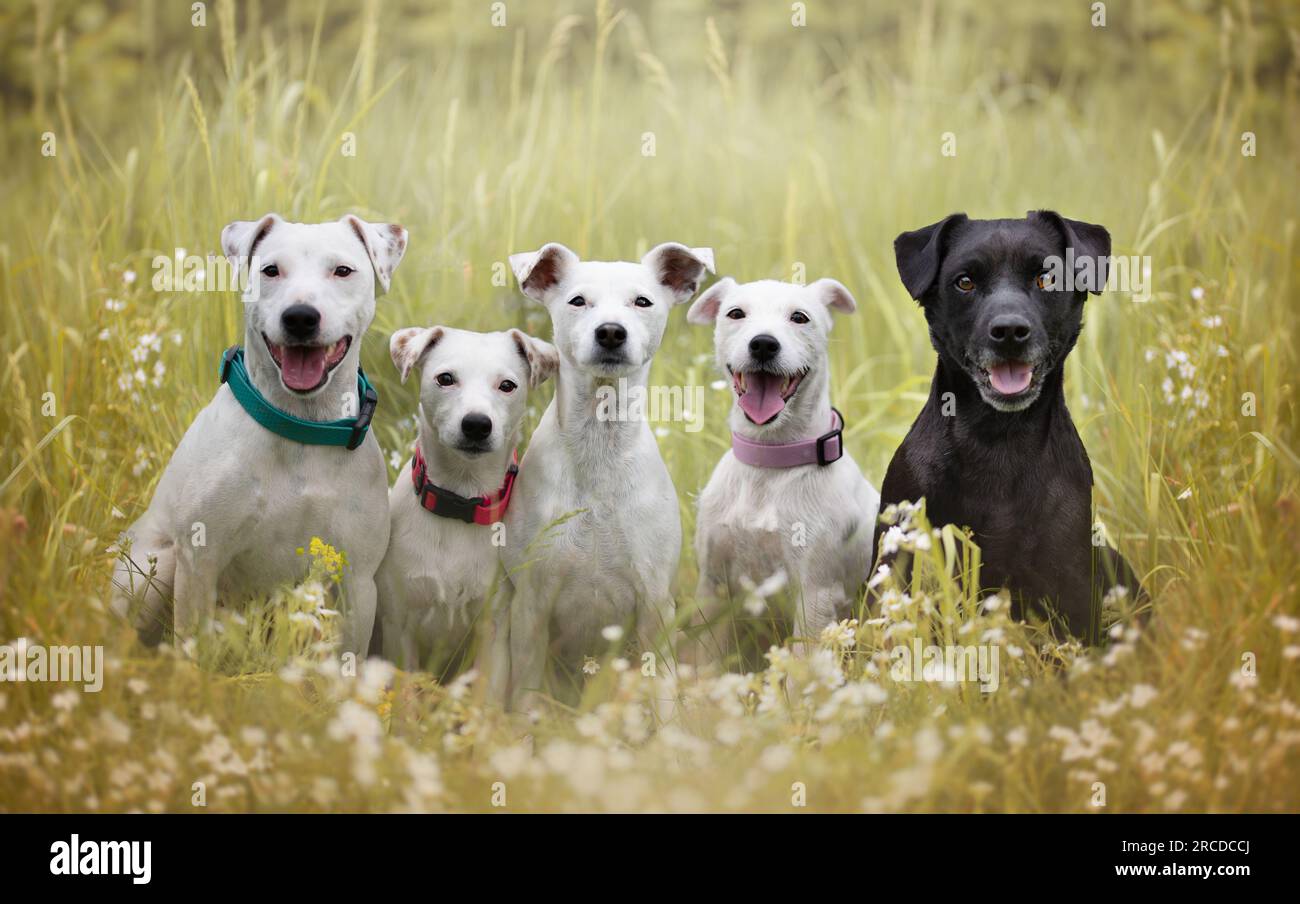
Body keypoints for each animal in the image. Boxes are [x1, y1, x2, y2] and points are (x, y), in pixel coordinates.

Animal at [113, 218, 405, 658]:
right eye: (271, 270)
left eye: (342, 271)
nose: (300, 317)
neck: (301, 425)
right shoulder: (199, 560)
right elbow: (191, 647)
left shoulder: (357, 581)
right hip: (156, 568)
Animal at [377, 325, 559, 676]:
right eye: (445, 378)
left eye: (507, 385)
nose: (476, 424)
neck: (460, 499)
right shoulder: (398, 628)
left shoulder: (493, 634)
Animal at [499, 241, 712, 712]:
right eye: (578, 301)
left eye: (643, 302)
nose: (611, 332)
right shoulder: (530, 607)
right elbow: (524, 690)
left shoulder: (654, 605)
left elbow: (662, 688)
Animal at [681, 275, 883, 665]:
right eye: (735, 313)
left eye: (799, 317)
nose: (763, 344)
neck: (770, 462)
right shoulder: (712, 587)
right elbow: (703, 661)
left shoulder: (814, 594)